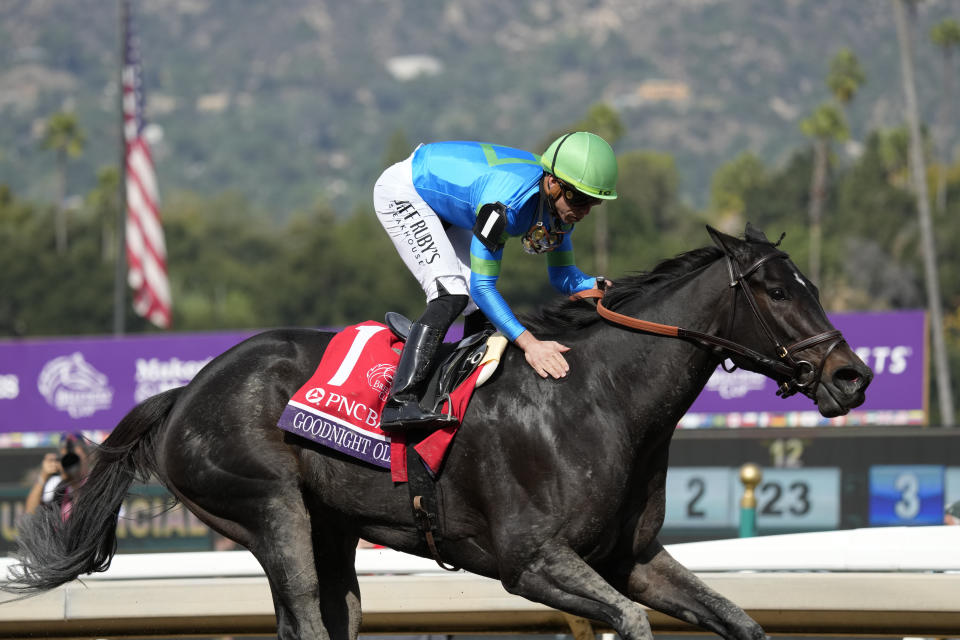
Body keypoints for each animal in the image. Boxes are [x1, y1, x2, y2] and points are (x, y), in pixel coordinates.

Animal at [5, 225, 872, 640]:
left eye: (809, 284)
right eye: (774, 290)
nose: (852, 374)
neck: (599, 399)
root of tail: (186, 389)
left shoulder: (633, 558)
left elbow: (740, 621)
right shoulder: (530, 563)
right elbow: (625, 621)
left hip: (332, 530)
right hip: (265, 508)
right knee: (304, 615)